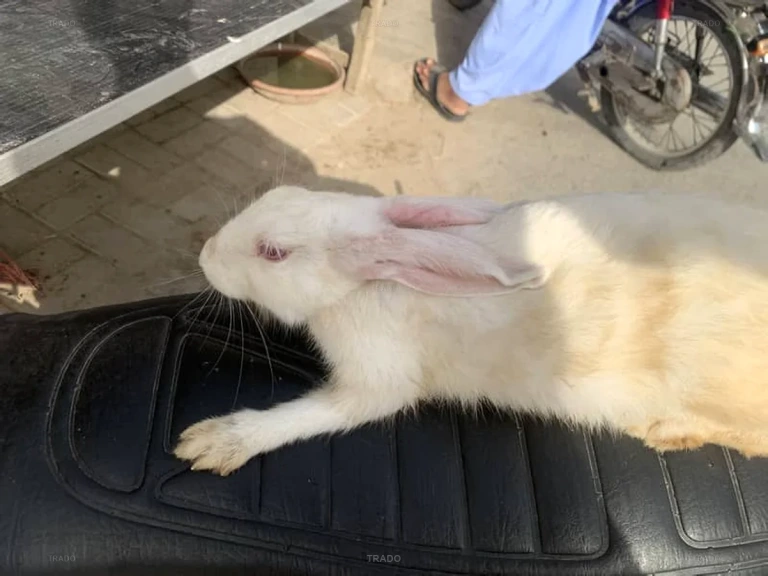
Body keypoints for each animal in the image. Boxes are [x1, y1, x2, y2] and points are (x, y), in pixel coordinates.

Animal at [174, 185, 768, 476]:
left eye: (272, 253)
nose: (204, 256)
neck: (369, 285)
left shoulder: (380, 381)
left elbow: (318, 415)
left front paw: (215, 443)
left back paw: (668, 431)